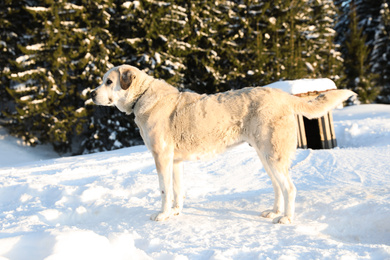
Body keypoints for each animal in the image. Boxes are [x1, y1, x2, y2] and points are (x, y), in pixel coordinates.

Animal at [91, 64, 356, 223]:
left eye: (108, 82)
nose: (91, 94)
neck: (143, 96)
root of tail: (284, 96)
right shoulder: (174, 161)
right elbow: (177, 189)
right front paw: (176, 212)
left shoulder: (161, 157)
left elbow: (164, 190)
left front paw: (163, 215)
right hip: (265, 156)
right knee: (278, 187)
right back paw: (274, 212)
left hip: (273, 155)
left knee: (289, 188)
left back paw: (286, 219)